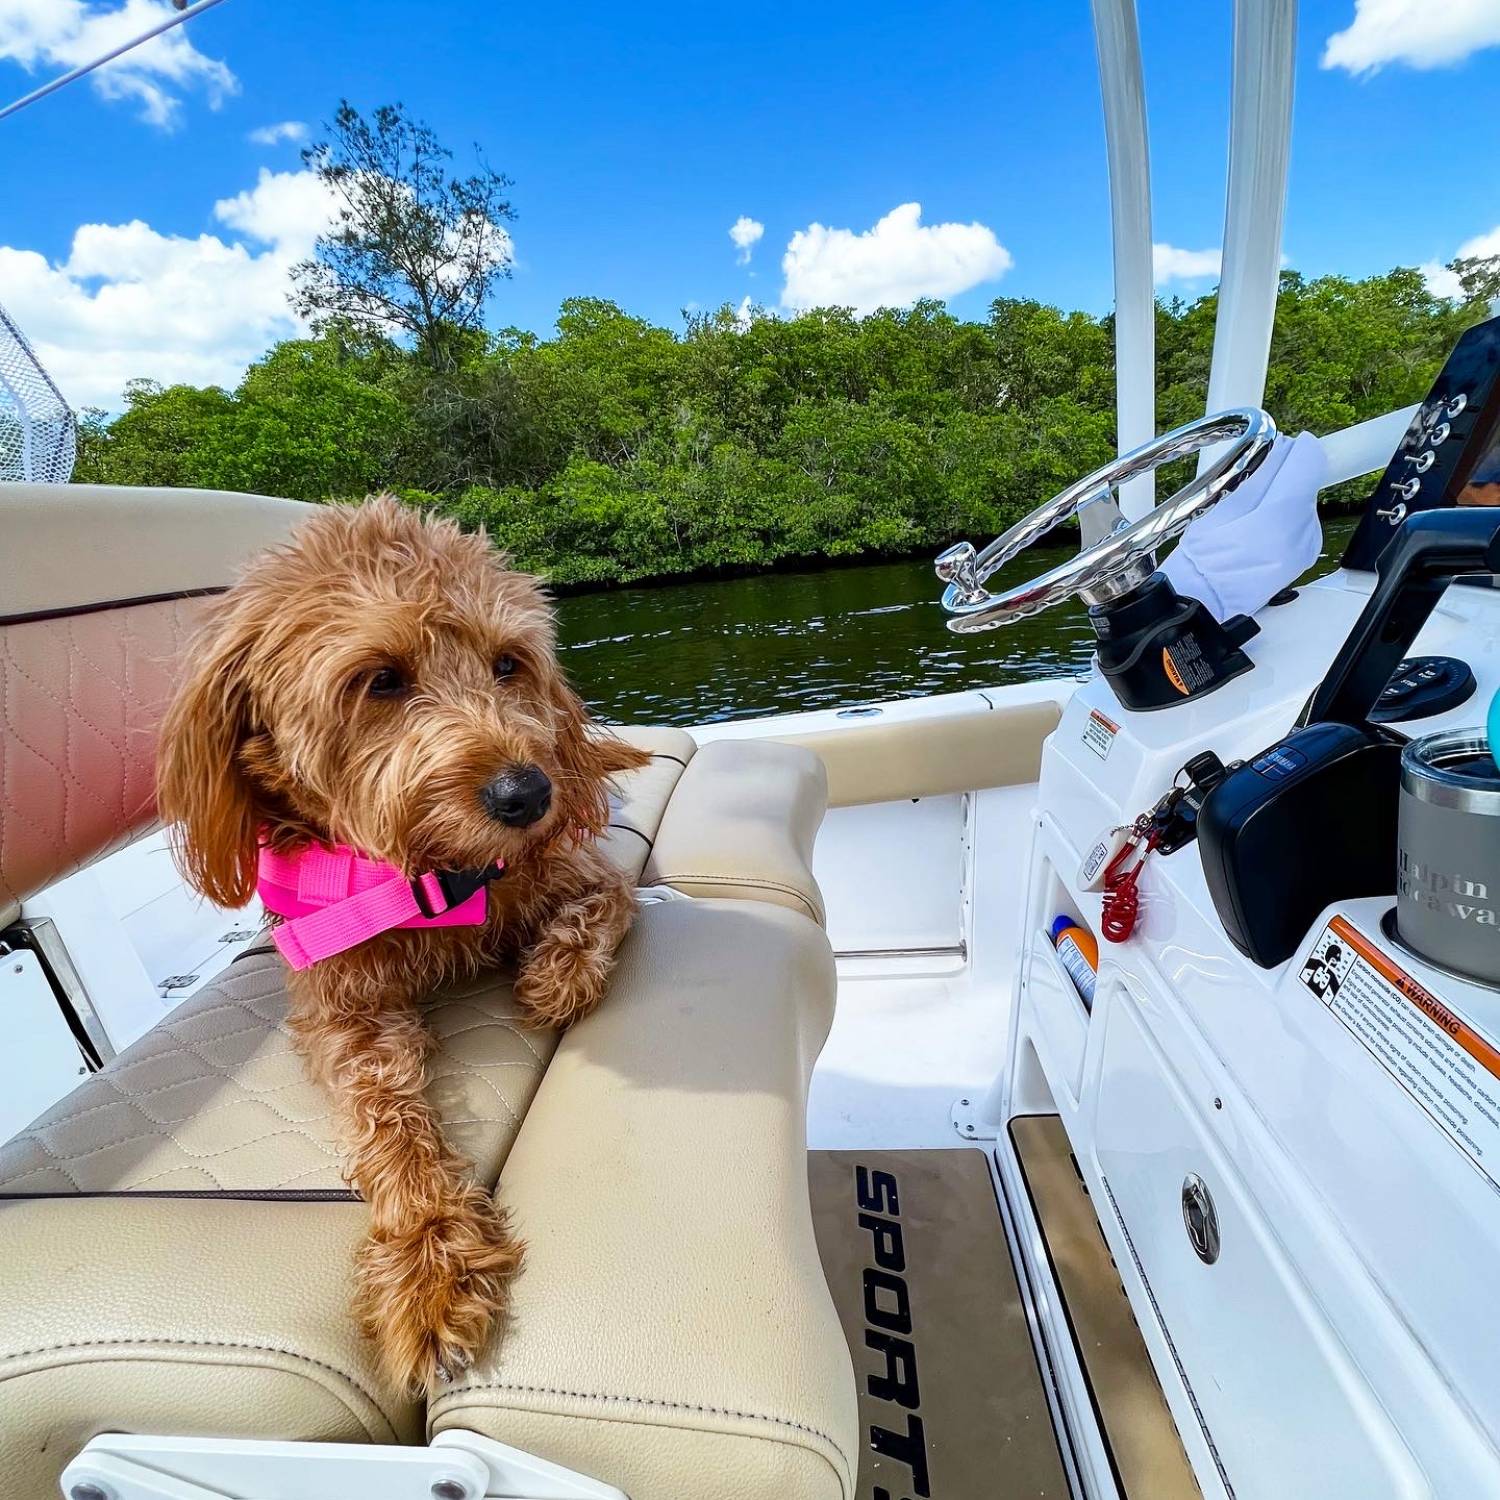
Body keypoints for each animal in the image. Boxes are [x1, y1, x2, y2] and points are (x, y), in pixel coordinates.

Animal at [159, 498, 651, 1386]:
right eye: (381, 679)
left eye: (507, 663)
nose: (530, 793)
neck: (430, 877)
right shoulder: (340, 1005)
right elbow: (386, 1115)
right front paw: (430, 1257)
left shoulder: (579, 872)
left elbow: (601, 909)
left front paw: (553, 978)